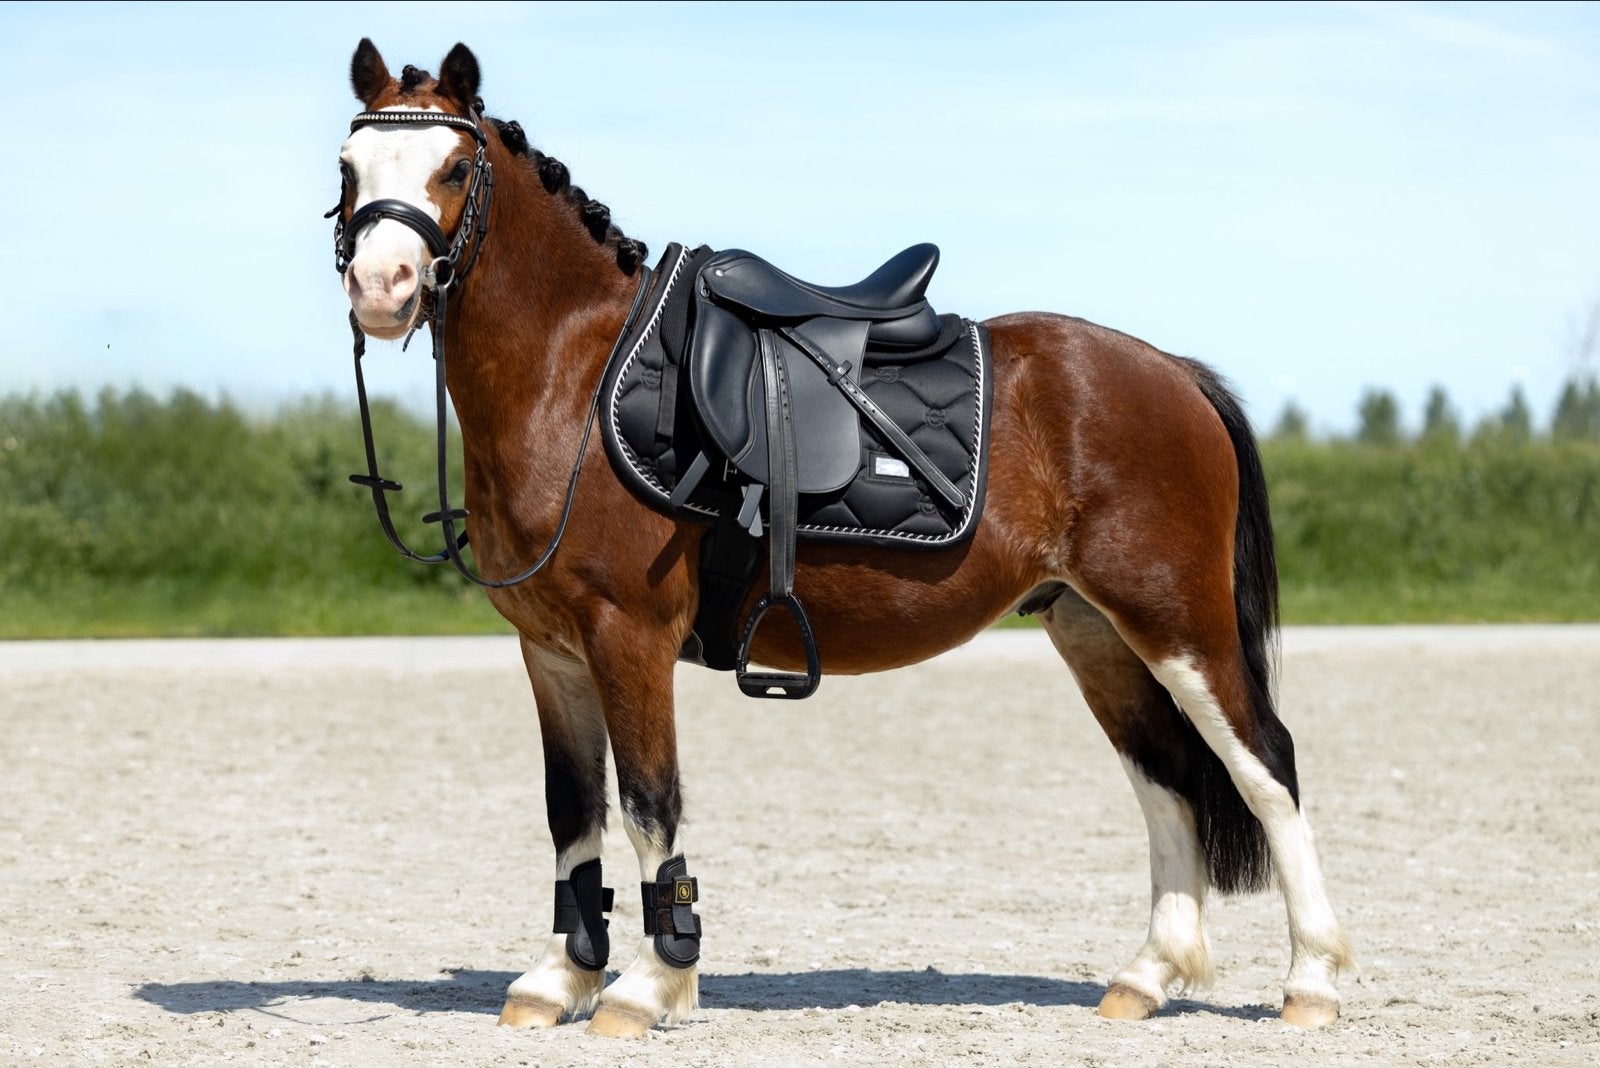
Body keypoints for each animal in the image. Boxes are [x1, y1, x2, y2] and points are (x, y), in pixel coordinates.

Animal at [331, 39, 1353, 1037]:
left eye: (455, 167)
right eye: (348, 166)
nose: (381, 288)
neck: (573, 377)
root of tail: (1173, 374)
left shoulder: (630, 638)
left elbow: (649, 805)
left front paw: (648, 987)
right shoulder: (551, 651)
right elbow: (570, 812)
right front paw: (557, 979)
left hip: (1177, 620)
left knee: (1266, 767)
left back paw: (1310, 982)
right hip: (1094, 629)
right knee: (1167, 779)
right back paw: (1147, 976)